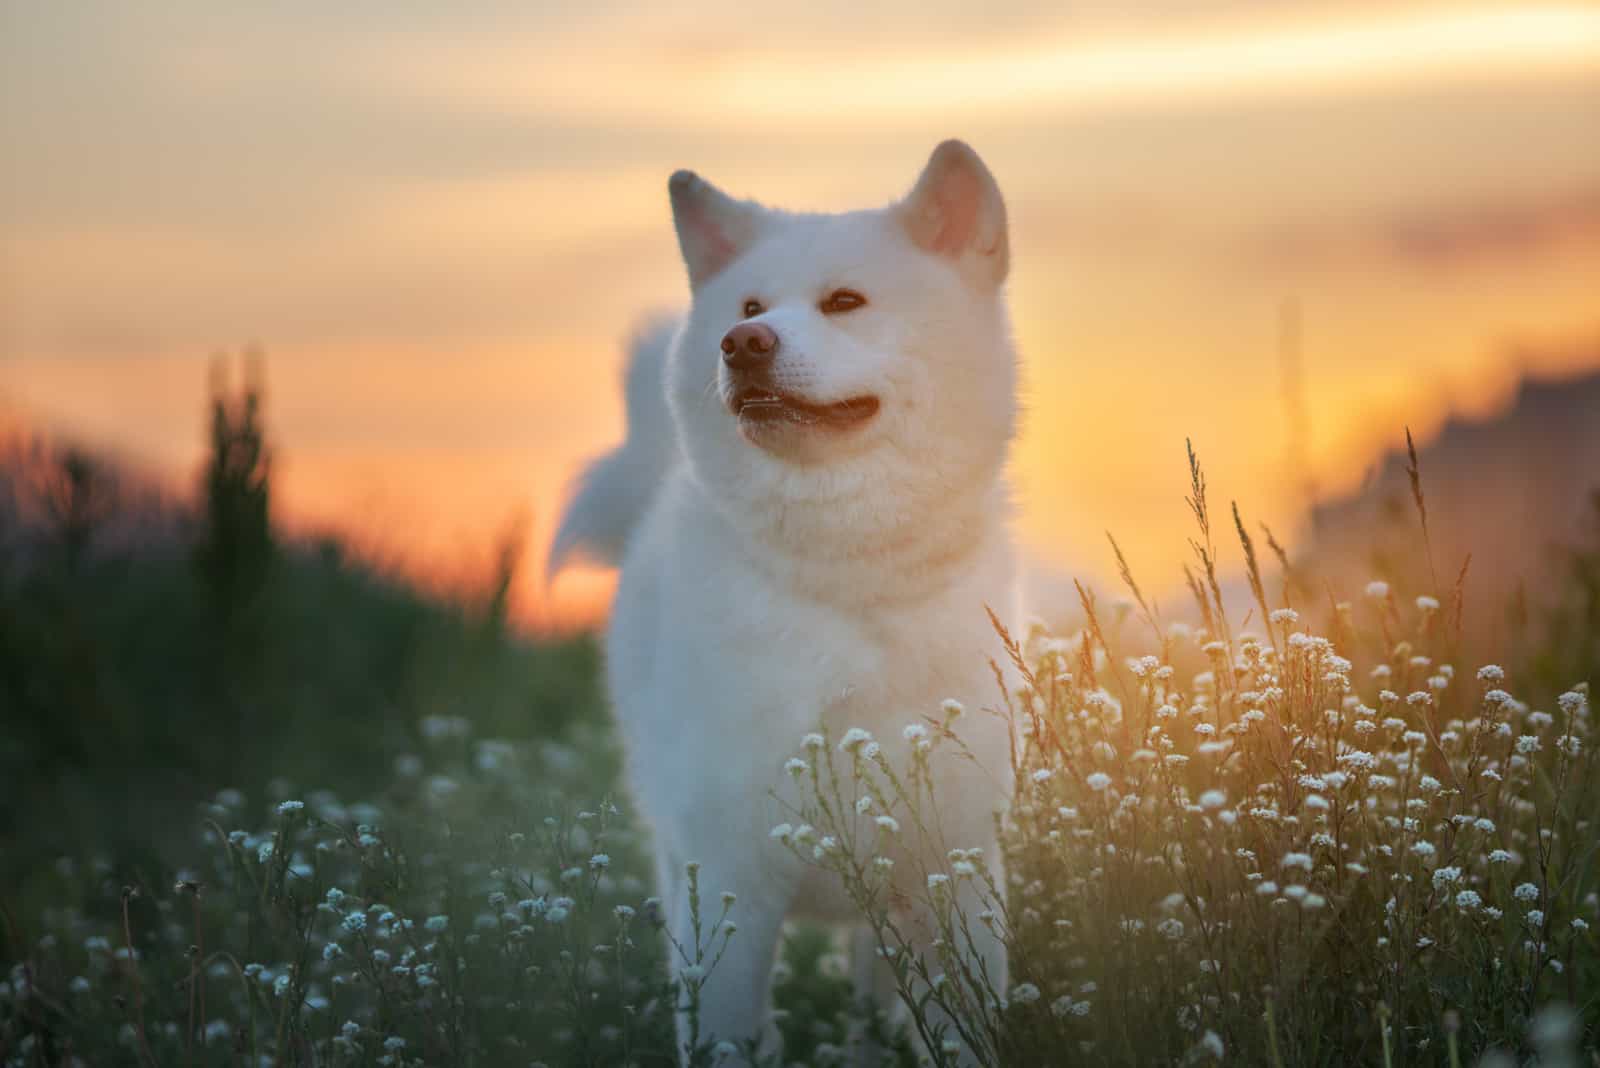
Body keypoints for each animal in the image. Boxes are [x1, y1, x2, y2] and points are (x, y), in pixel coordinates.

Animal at [550, 139, 1017, 1061]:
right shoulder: (731, 876)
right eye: (750, 306)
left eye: (845, 302)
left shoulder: (957, 868)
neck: (846, 580)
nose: (743, 343)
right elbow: (725, 1034)